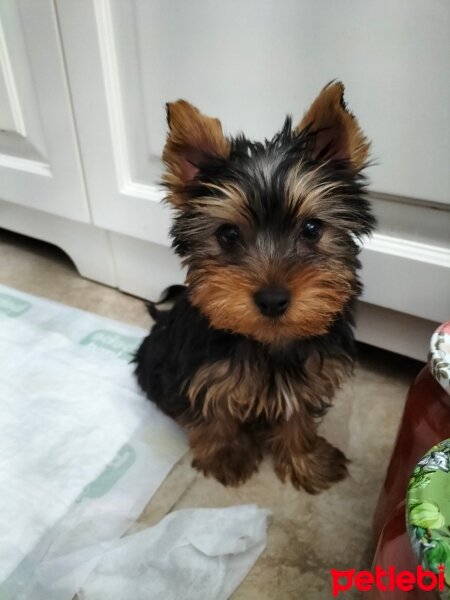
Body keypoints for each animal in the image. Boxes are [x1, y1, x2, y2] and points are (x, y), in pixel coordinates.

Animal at [134, 81, 376, 492]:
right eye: (228, 235)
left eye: (312, 229)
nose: (273, 299)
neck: (268, 343)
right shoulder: (200, 369)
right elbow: (213, 409)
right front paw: (227, 454)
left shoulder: (310, 374)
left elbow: (298, 412)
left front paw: (306, 459)